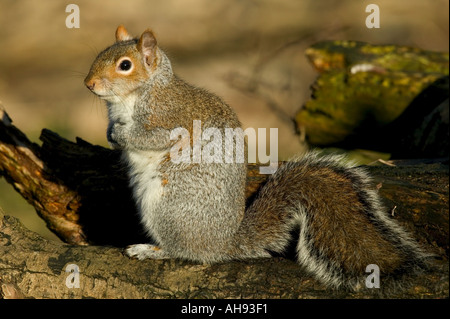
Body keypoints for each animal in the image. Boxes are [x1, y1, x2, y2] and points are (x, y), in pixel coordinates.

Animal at [84, 25, 428, 290]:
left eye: (125, 65)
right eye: (100, 54)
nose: (88, 84)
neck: (137, 94)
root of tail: (224, 242)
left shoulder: (169, 120)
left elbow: (151, 138)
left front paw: (121, 135)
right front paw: (110, 131)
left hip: (168, 207)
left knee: (186, 250)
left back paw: (152, 250)